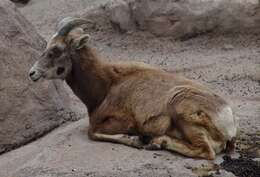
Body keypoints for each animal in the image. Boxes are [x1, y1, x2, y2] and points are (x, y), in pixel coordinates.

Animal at [29, 17, 238, 160]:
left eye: (56, 50)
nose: (32, 73)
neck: (107, 85)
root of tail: (227, 118)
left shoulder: (122, 121)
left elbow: (92, 133)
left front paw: (136, 140)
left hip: (180, 108)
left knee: (206, 152)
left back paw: (156, 142)